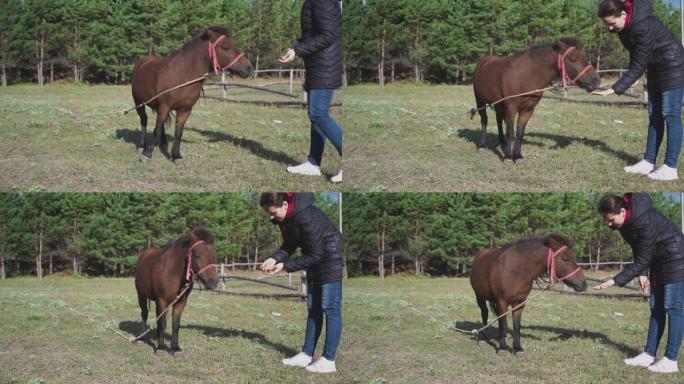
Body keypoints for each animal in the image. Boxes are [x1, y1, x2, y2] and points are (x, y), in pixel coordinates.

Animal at [132, 26, 254, 162]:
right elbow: (156, 130)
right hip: (139, 102)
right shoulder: (164, 106)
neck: (183, 74)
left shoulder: (185, 110)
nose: (249, 68)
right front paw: (147, 154)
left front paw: (176, 156)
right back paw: (142, 146)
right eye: (225, 47)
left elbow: (178, 132)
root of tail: (142, 61)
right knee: (144, 120)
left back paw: (162, 144)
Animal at [134, 226, 219, 356]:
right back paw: (141, 339)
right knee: (144, 314)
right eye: (197, 255)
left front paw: (176, 348)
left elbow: (175, 324)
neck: (172, 272)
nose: (213, 282)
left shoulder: (181, 302)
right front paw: (161, 348)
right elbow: (163, 323)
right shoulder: (162, 300)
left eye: (214, 255)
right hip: (141, 295)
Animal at [472, 37, 600, 160]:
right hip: (480, 101)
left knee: (498, 119)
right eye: (573, 59)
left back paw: (502, 142)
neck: (525, 75)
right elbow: (510, 131)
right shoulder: (511, 108)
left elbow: (520, 132)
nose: (596, 80)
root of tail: (483, 62)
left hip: (498, 104)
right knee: (484, 120)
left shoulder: (528, 110)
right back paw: (482, 145)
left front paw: (517, 155)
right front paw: (508, 156)